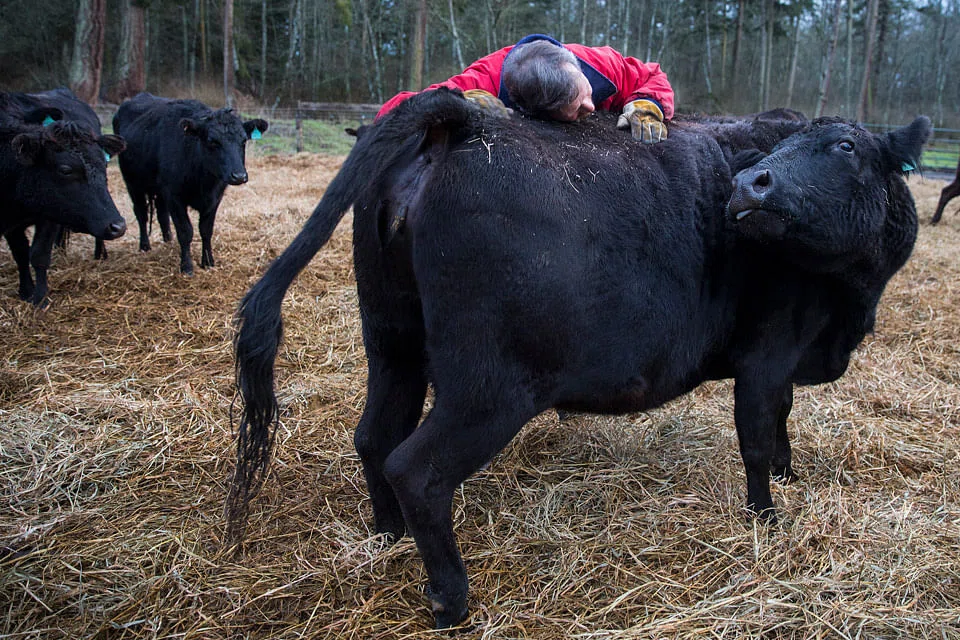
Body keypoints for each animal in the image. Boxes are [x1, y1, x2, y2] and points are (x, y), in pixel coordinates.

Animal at [0, 117, 127, 304]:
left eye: (104, 164)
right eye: (65, 170)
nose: (118, 226)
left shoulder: (49, 217)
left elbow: (38, 255)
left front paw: (38, 297)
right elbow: (21, 252)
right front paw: (30, 293)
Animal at [112, 93, 268, 274]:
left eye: (243, 141)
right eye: (212, 141)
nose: (239, 176)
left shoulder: (214, 199)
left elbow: (206, 230)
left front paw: (208, 261)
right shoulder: (174, 197)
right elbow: (186, 231)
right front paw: (186, 266)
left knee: (162, 215)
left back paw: (168, 241)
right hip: (133, 184)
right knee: (141, 213)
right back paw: (145, 246)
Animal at [226, 89, 930, 628]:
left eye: (844, 147)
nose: (748, 185)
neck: (846, 307)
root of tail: (464, 122)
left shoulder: (782, 361)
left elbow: (780, 423)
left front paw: (788, 477)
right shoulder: (766, 355)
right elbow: (757, 437)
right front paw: (766, 518)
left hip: (392, 343)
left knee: (374, 437)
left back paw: (388, 533)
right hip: (488, 388)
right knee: (415, 466)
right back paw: (451, 598)